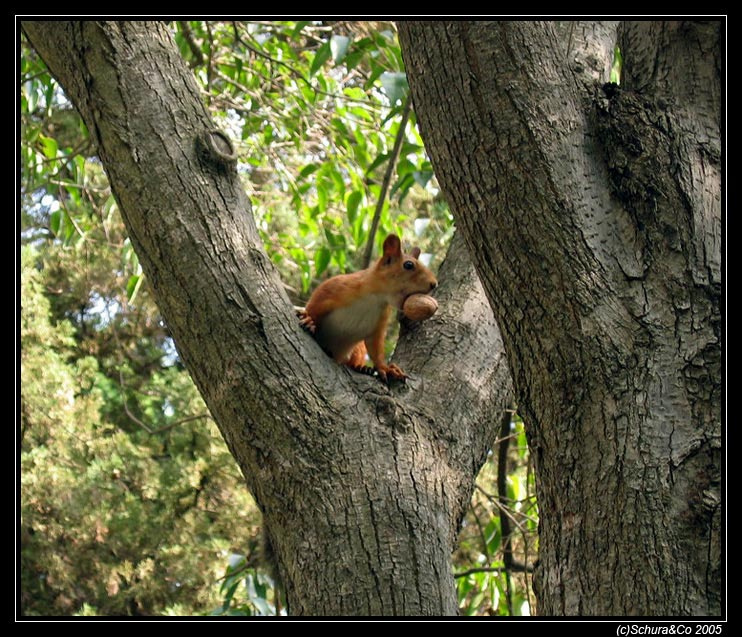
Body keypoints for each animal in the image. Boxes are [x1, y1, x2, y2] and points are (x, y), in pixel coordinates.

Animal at [298, 234, 437, 381]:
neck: (375, 297)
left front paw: (386, 368)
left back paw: (362, 368)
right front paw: (308, 319)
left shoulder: (380, 321)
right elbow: (314, 307)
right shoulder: (333, 289)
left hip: (357, 349)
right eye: (408, 265)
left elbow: (376, 348)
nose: (434, 284)